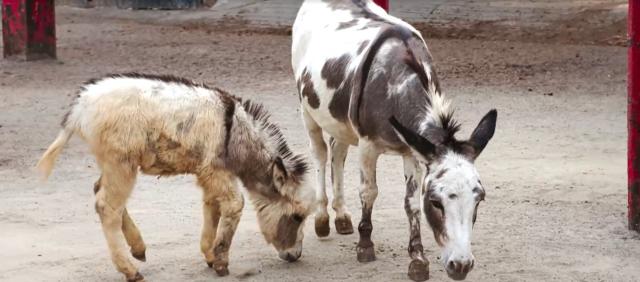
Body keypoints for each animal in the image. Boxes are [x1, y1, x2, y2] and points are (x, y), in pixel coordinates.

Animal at [37, 74, 316, 280]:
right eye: (297, 216)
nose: (296, 256)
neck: (235, 133)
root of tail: (81, 104)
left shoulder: (209, 174)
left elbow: (212, 209)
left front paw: (209, 255)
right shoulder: (216, 172)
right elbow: (234, 206)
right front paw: (221, 262)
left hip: (113, 166)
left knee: (101, 194)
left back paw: (138, 249)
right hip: (121, 165)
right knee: (107, 207)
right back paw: (130, 270)